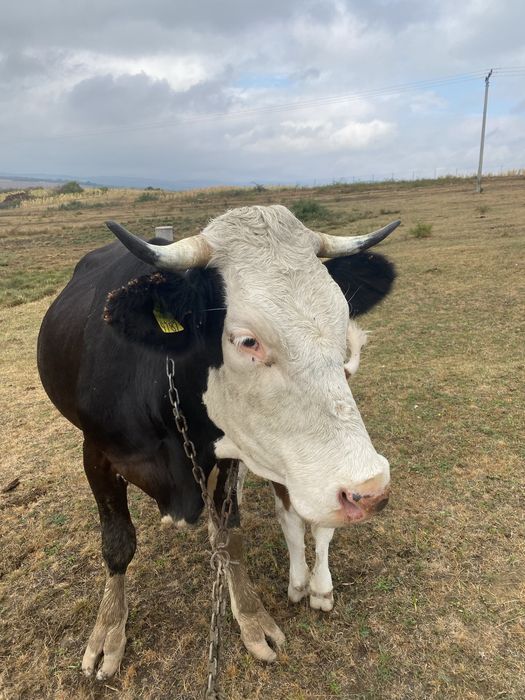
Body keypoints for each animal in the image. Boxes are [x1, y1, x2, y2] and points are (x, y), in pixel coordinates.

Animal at [37, 204, 399, 680]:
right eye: (247, 340)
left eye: (344, 327)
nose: (370, 490)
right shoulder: (96, 454)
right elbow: (118, 544)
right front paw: (109, 629)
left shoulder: (227, 455)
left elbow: (229, 534)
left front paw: (250, 617)